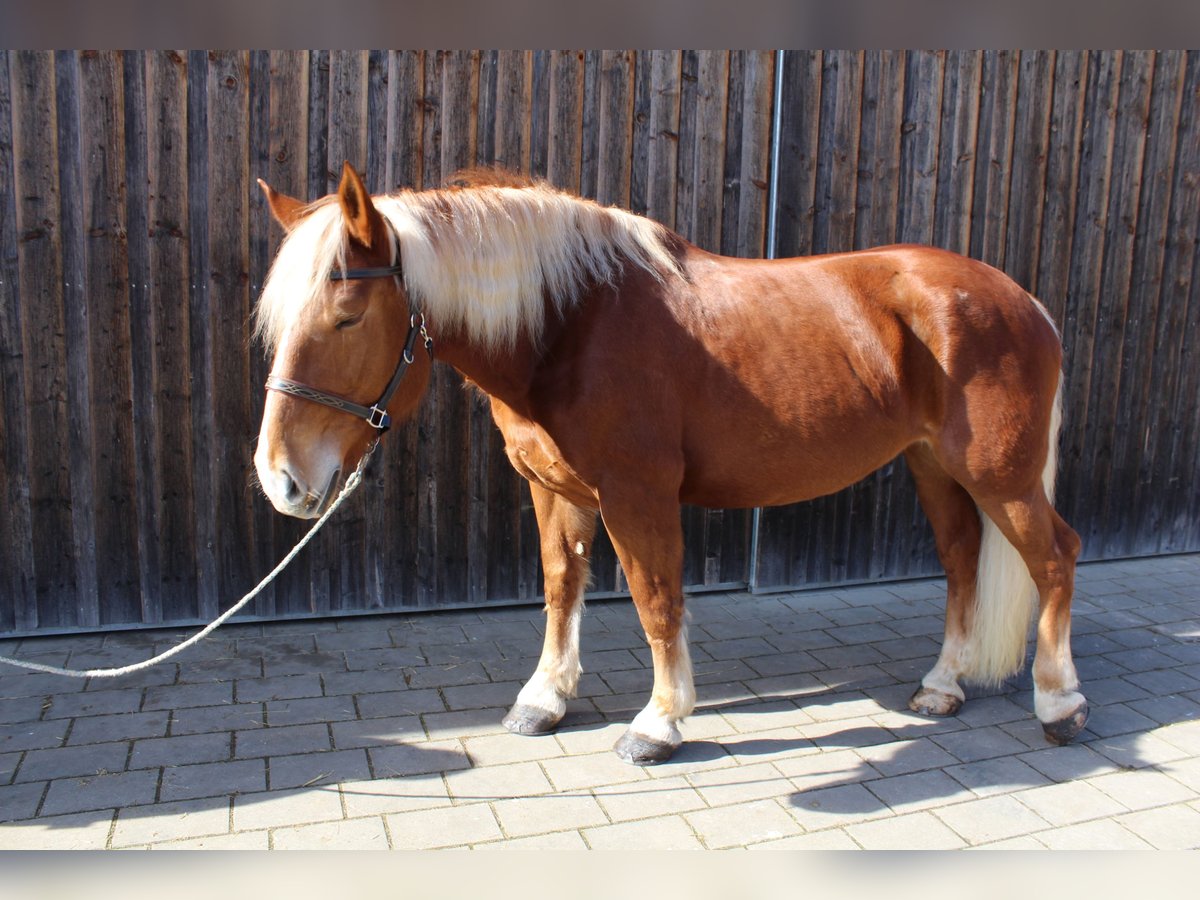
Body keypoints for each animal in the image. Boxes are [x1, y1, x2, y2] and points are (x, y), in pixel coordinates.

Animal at [253, 164, 1089, 768]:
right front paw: (545, 699)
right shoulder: (554, 490)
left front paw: (659, 722)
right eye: (278, 320)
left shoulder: (637, 495)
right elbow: (561, 588)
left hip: (1001, 476)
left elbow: (657, 602)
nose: (280, 480)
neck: (572, 325)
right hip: (934, 466)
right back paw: (942, 688)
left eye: (347, 317)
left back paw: (1059, 703)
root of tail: (1022, 301)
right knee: (963, 560)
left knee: (1053, 558)